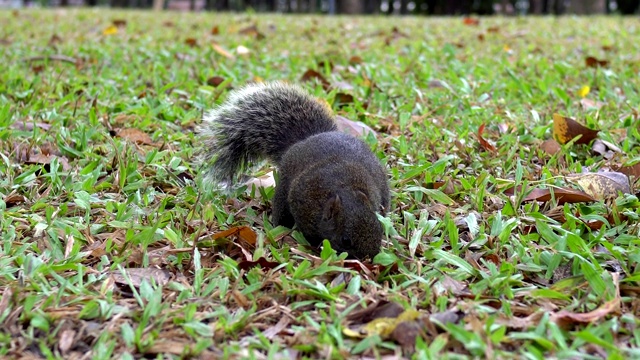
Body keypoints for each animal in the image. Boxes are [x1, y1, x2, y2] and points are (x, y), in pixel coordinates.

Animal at [200, 81, 390, 258]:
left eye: (379, 226)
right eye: (346, 240)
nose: (370, 257)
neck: (344, 189)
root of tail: (307, 139)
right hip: (284, 188)